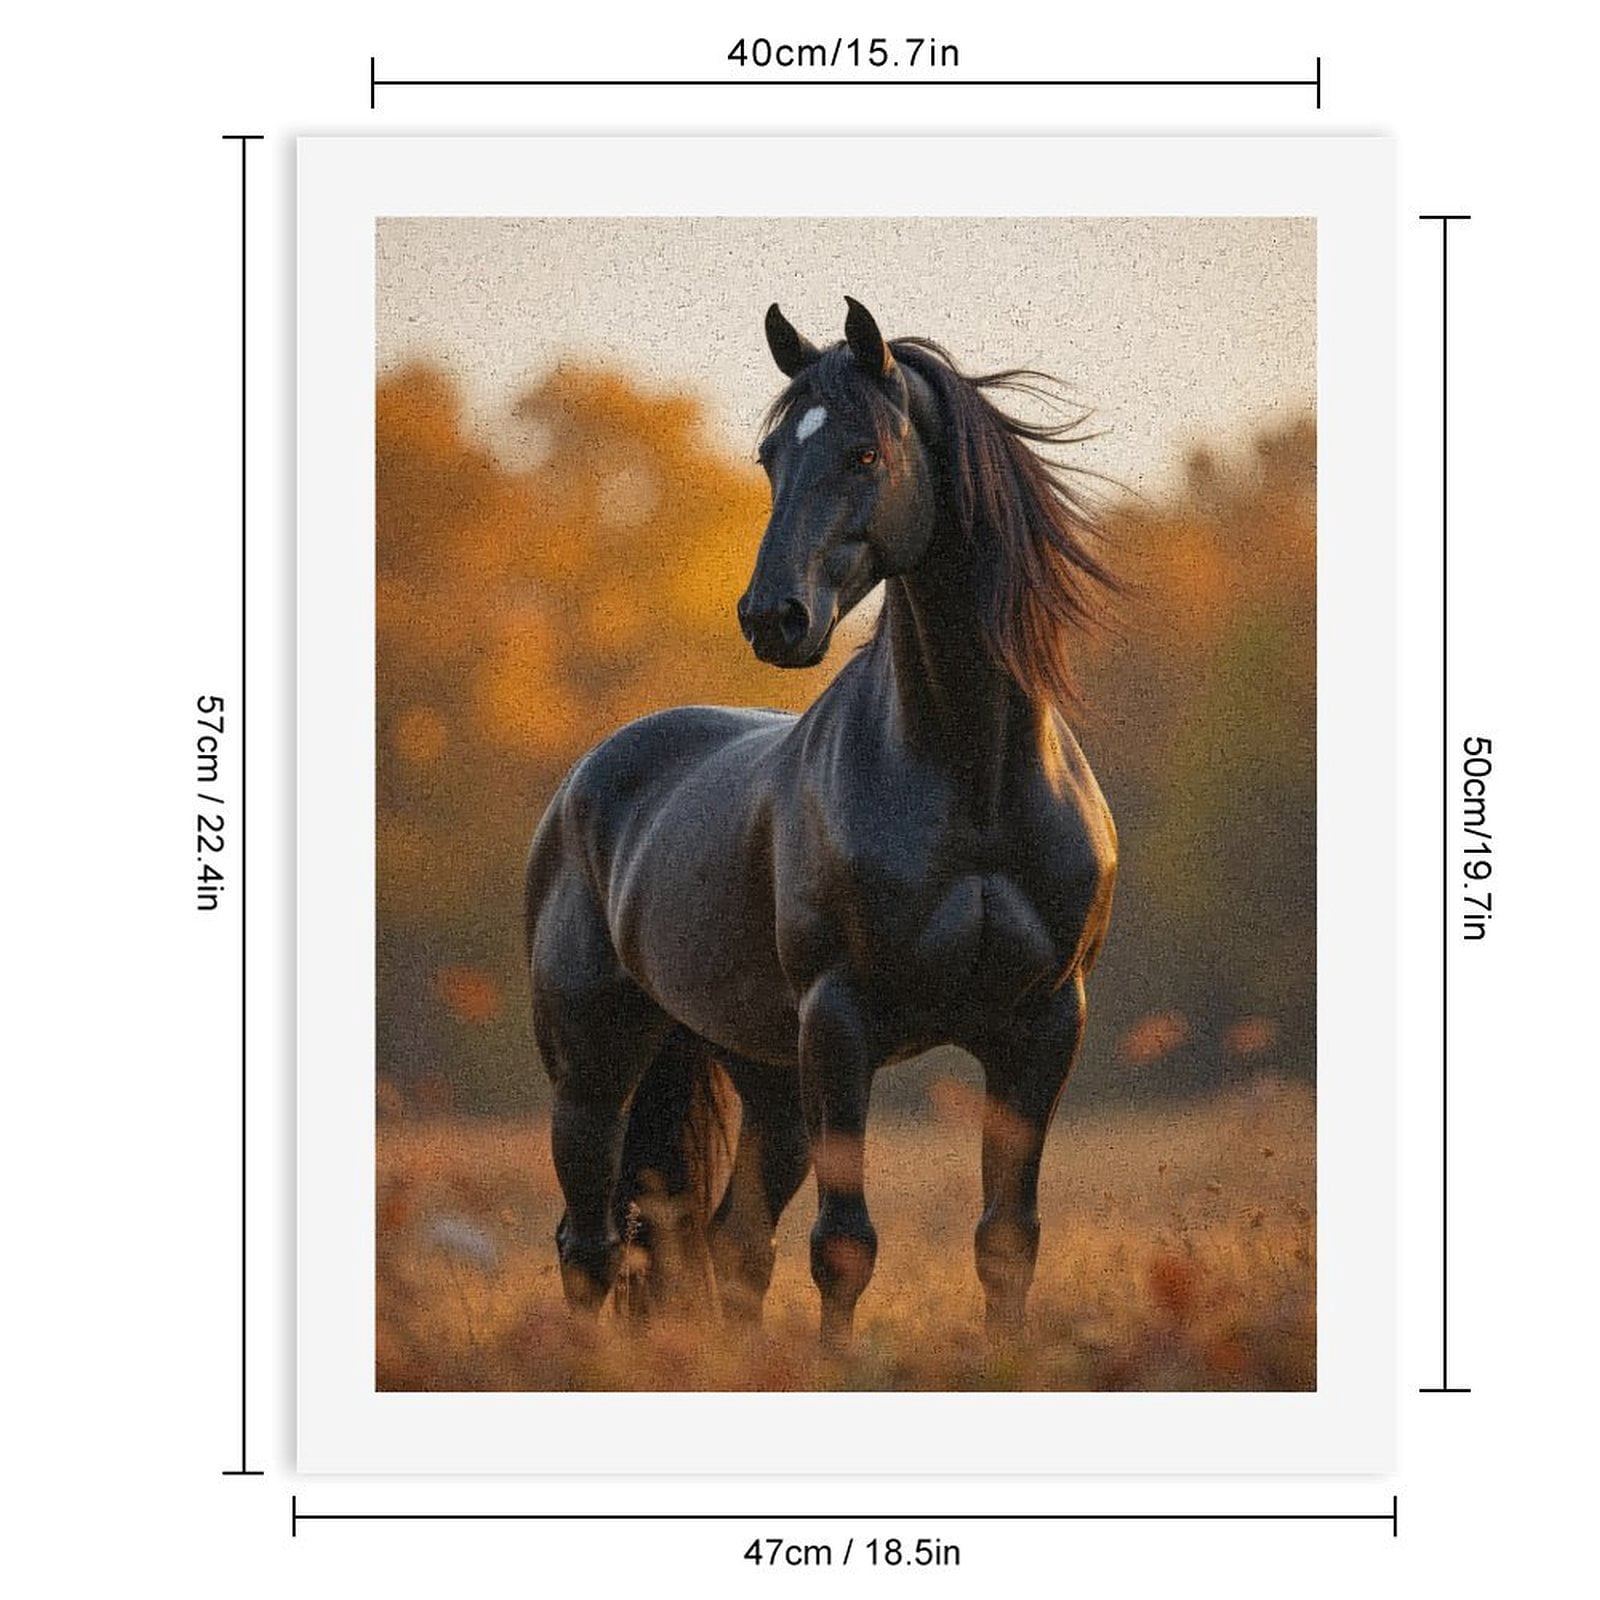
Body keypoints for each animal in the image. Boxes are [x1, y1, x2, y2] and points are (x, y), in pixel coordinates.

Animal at [525, 297, 1118, 1347]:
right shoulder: (842, 1022)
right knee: (589, 1246)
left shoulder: (1042, 1027)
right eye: (769, 457)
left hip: (766, 1081)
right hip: (594, 1071)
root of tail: (582, 786)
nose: (774, 618)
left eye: (864, 453)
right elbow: (845, 1246)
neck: (973, 781)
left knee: (726, 1246)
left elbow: (1007, 1239)